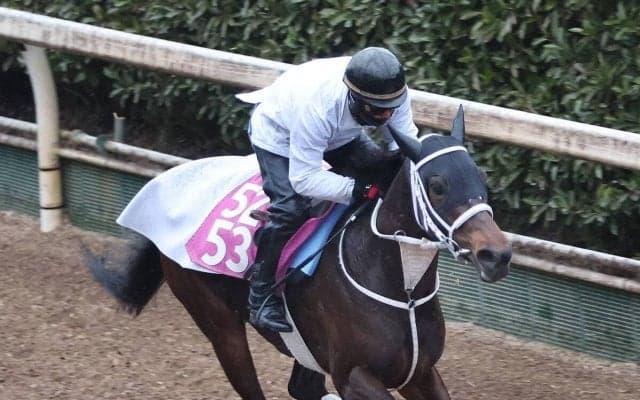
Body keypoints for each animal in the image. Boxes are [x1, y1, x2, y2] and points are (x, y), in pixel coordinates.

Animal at [86, 105, 512, 400]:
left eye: (480, 176)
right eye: (437, 185)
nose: (497, 254)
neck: (400, 287)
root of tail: (171, 181)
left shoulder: (419, 372)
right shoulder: (354, 376)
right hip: (220, 325)